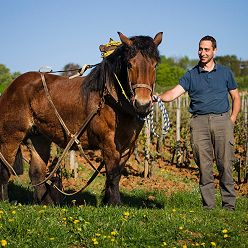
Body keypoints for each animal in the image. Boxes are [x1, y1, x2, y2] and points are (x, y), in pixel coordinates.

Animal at [0, 31, 163, 205]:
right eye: (130, 65)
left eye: (155, 65)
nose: (142, 104)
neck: (111, 100)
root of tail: (11, 87)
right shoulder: (108, 142)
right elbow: (112, 173)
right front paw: (114, 203)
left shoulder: (129, 145)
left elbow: (117, 173)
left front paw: (108, 201)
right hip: (11, 136)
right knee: (5, 169)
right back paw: (5, 200)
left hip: (38, 137)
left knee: (36, 172)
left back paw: (47, 203)